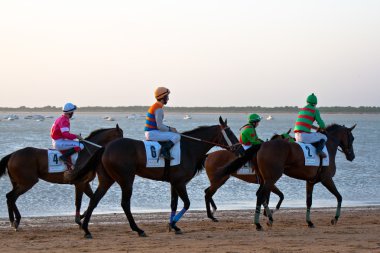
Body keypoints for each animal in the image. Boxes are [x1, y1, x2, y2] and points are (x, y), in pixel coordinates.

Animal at [74, 115, 240, 238]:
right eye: (231, 133)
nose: (240, 149)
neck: (188, 148)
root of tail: (106, 147)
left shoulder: (174, 183)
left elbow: (174, 204)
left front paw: (174, 226)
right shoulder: (180, 183)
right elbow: (187, 203)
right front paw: (172, 224)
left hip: (107, 179)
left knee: (95, 200)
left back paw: (87, 230)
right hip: (126, 179)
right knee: (124, 203)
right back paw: (138, 229)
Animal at [214, 123, 356, 230]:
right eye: (353, 138)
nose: (352, 156)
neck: (328, 146)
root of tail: (262, 145)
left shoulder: (310, 182)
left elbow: (309, 202)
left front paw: (309, 222)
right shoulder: (327, 179)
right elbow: (339, 197)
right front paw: (335, 218)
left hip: (265, 179)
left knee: (261, 195)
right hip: (271, 179)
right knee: (261, 196)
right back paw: (259, 224)